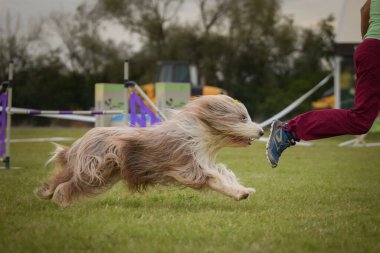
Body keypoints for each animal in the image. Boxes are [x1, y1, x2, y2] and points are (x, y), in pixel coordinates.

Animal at [35, 94, 264, 206]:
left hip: (100, 170)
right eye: (242, 118)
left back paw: (46, 193)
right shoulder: (187, 165)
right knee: (67, 185)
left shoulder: (202, 159)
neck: (201, 134)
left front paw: (243, 190)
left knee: (60, 179)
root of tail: (80, 142)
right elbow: (214, 178)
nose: (262, 131)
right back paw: (62, 202)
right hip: (94, 171)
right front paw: (241, 193)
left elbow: (224, 173)